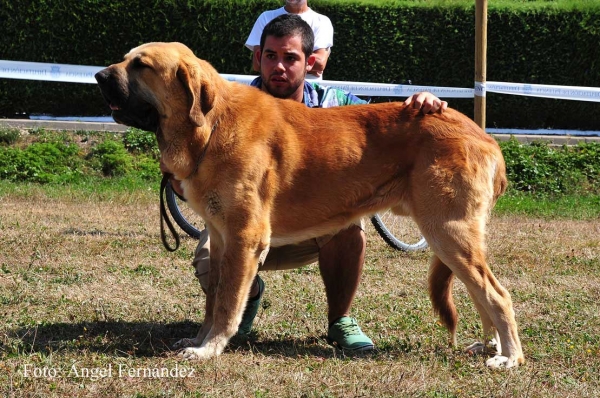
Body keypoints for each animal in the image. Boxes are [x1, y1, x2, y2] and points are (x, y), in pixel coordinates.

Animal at [95, 42, 524, 368]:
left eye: (141, 65)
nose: (98, 76)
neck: (210, 125)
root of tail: (486, 137)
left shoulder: (245, 239)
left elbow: (228, 303)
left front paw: (209, 349)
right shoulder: (219, 239)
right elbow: (213, 300)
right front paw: (199, 340)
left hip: (448, 233)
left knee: (497, 294)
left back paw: (509, 358)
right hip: (451, 240)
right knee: (480, 293)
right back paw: (489, 346)